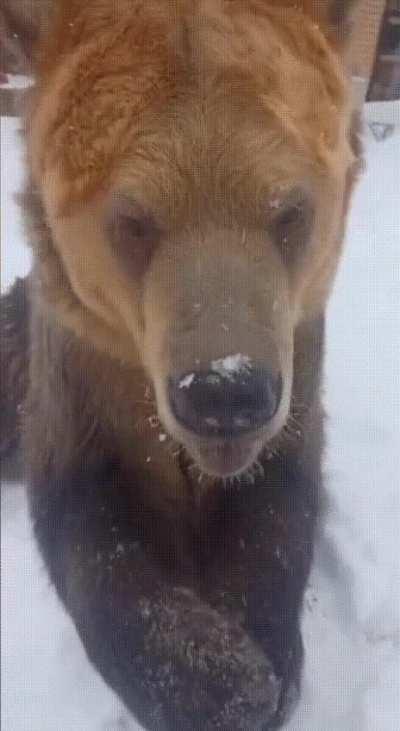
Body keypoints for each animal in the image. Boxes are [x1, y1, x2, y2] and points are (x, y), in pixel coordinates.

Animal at [1, 1, 363, 728]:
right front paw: (216, 680)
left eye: (291, 212)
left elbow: (277, 509)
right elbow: (89, 525)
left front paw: (260, 655)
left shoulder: (297, 364)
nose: (224, 392)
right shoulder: (84, 380)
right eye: (133, 220)